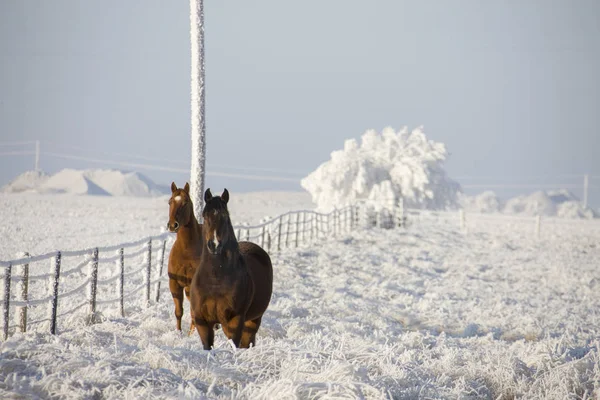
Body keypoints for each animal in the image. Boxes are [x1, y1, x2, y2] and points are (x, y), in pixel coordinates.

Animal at [166, 183, 204, 332]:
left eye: (185, 202)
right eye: (170, 201)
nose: (172, 225)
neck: (186, 251)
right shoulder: (174, 283)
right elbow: (179, 311)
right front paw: (179, 332)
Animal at [191, 189, 274, 348]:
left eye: (225, 215)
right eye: (205, 215)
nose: (214, 244)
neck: (216, 279)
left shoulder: (234, 321)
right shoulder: (202, 322)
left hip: (253, 320)